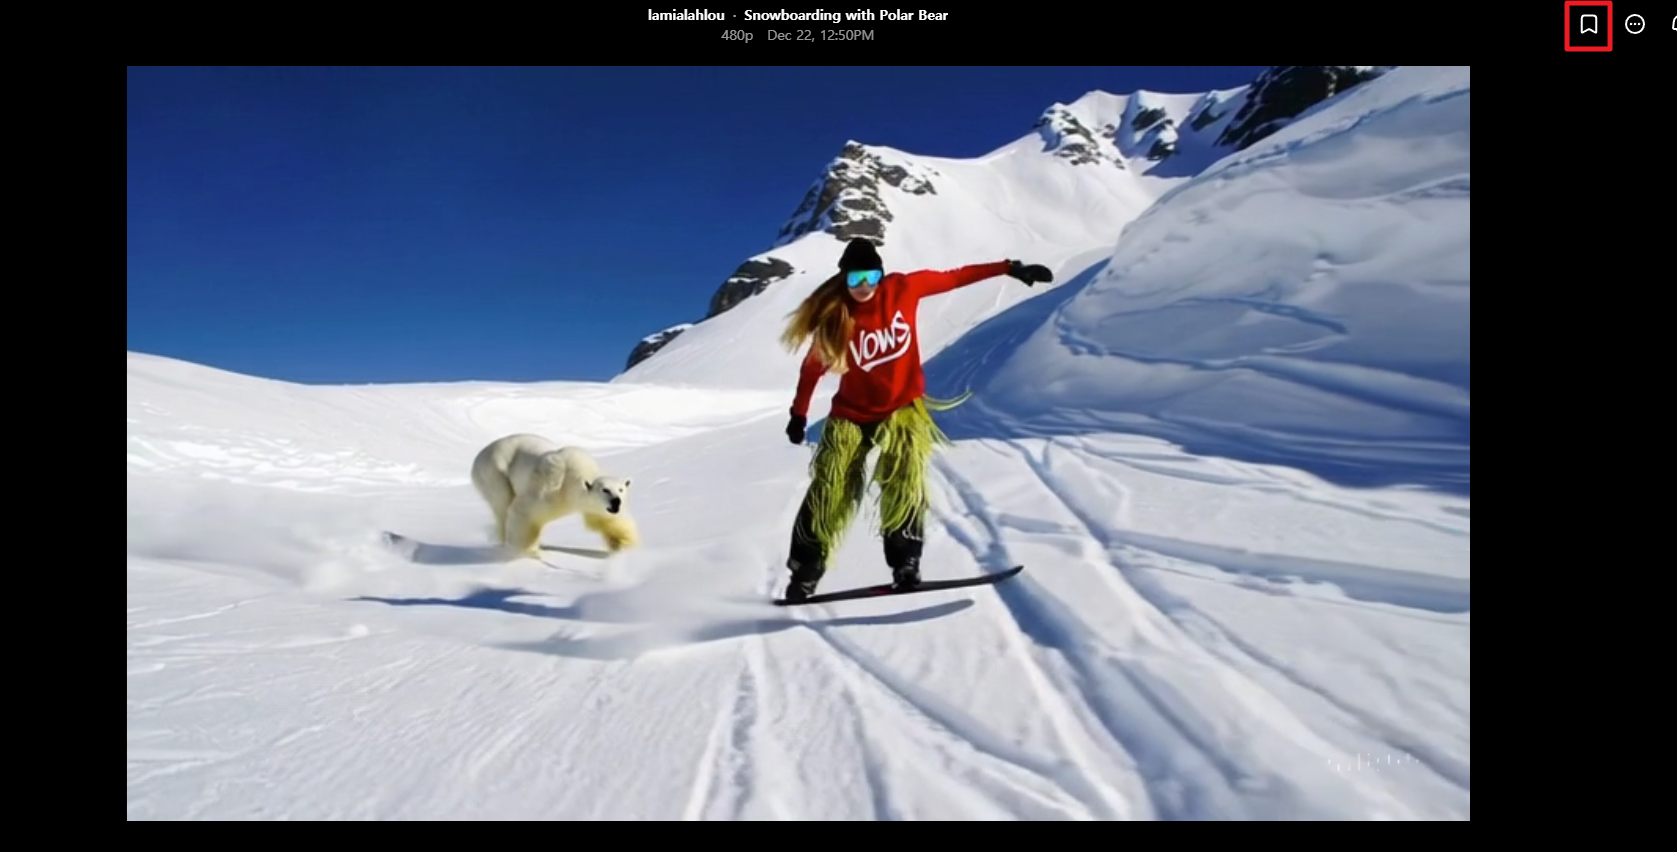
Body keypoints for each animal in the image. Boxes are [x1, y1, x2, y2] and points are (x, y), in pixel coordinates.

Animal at [469, 432, 637, 560]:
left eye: (621, 489)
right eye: (605, 490)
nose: (616, 502)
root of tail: (480, 454)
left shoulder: (596, 508)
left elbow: (608, 520)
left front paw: (624, 546)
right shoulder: (550, 489)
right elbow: (523, 511)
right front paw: (527, 552)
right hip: (494, 472)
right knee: (502, 504)